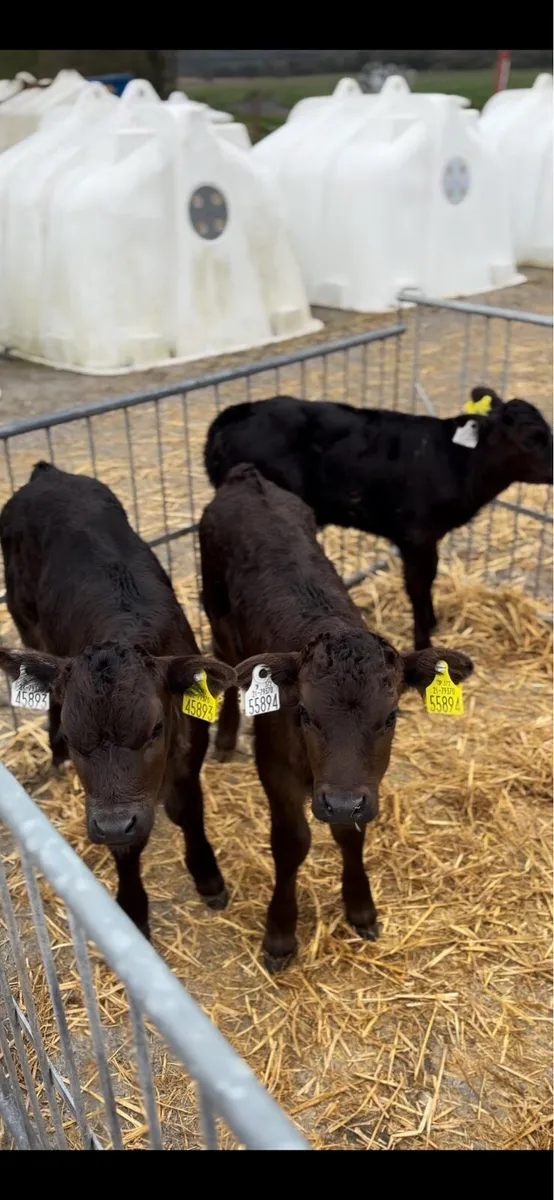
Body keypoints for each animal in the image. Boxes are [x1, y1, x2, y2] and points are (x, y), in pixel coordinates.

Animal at [0, 462, 236, 938]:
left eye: (156, 728)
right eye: (77, 737)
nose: (111, 824)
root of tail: (47, 474)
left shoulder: (190, 747)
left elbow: (188, 808)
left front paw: (208, 876)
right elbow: (127, 847)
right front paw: (131, 909)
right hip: (26, 623)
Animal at [199, 464, 473, 972]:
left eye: (391, 716)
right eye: (304, 712)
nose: (342, 802)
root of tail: (248, 478)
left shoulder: (362, 785)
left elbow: (351, 835)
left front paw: (360, 907)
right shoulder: (275, 767)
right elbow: (292, 843)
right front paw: (280, 934)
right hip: (216, 610)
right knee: (225, 664)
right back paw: (224, 740)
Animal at [204, 386, 553, 650]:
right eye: (531, 439)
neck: (459, 463)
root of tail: (229, 416)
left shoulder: (429, 538)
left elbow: (430, 579)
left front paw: (433, 622)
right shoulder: (416, 536)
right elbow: (417, 586)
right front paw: (423, 641)